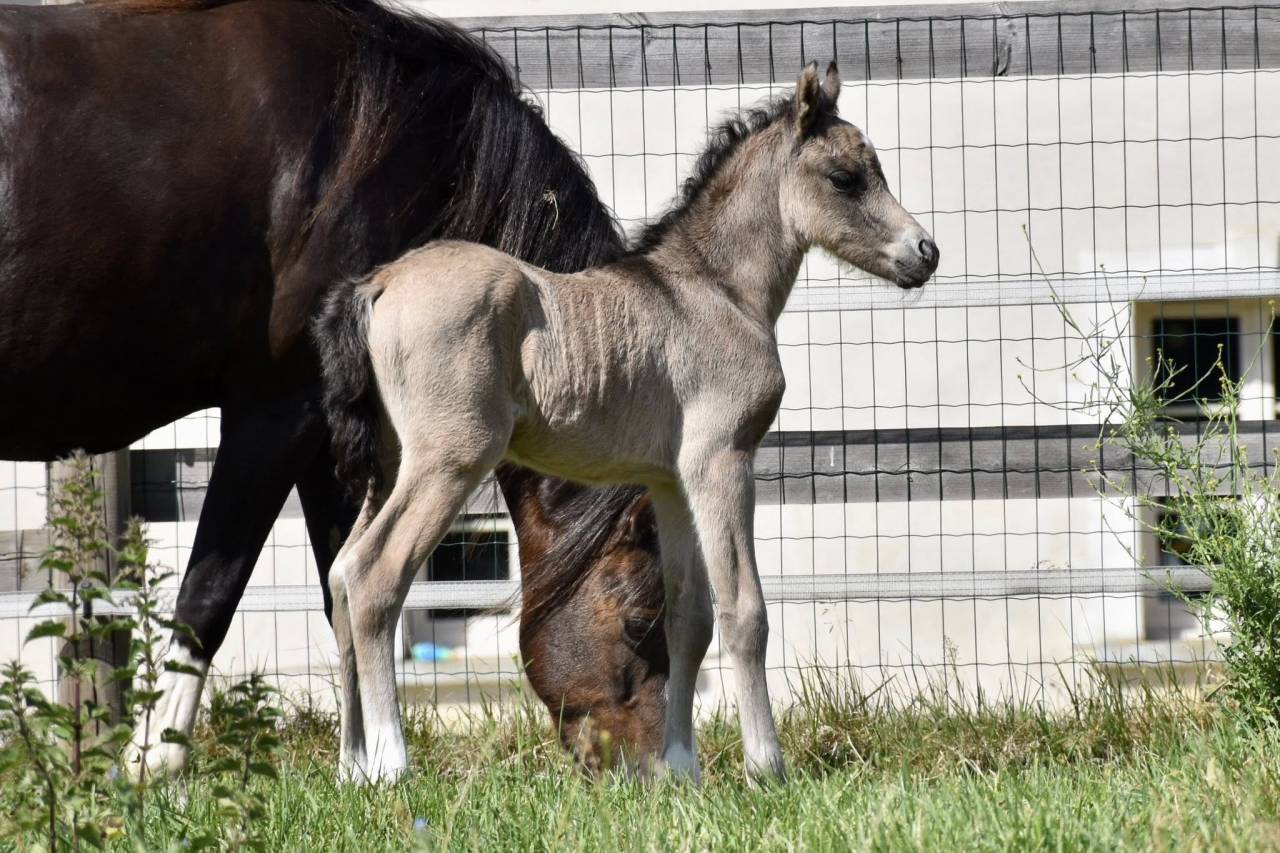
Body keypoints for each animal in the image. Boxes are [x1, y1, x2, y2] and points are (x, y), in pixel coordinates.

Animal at [0, 0, 668, 778]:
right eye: (643, 618)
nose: (654, 768)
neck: (391, 143)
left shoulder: (329, 435)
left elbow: (341, 582)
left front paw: (360, 769)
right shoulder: (278, 414)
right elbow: (211, 595)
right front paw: (154, 768)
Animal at [315, 60, 939, 783]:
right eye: (845, 177)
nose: (926, 252)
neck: (716, 291)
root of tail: (377, 284)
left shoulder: (670, 482)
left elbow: (689, 619)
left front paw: (683, 767)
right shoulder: (722, 460)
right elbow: (744, 611)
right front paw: (766, 767)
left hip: (390, 463)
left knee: (340, 577)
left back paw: (352, 766)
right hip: (450, 459)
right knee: (374, 577)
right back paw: (392, 763)